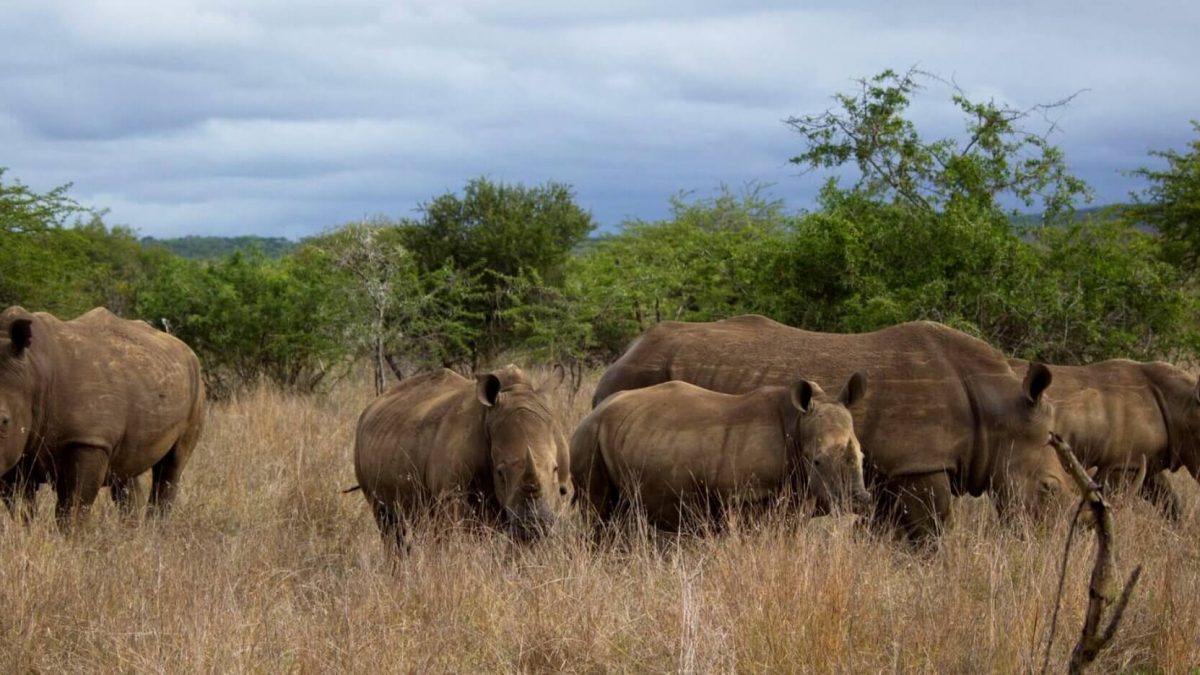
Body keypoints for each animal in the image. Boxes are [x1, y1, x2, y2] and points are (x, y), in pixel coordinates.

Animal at [0, 305, 206, 526]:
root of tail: (184, 347)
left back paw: (155, 529)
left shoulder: (89, 440)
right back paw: (132, 532)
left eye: (4, 421)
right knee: (126, 471)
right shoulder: (16, 453)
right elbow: (21, 511)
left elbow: (72, 509)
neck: (34, 372)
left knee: (172, 465)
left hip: (196, 382)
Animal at [350, 365, 571, 550]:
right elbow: (454, 538)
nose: (535, 525)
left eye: (555, 469)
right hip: (361, 446)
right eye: (500, 472)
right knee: (387, 521)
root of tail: (370, 407)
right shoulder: (451, 494)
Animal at [568, 369, 864, 528]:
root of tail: (589, 415)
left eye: (862, 456)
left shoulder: (795, 495)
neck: (798, 424)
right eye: (817, 461)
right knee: (598, 513)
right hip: (588, 438)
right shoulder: (745, 497)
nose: (858, 498)